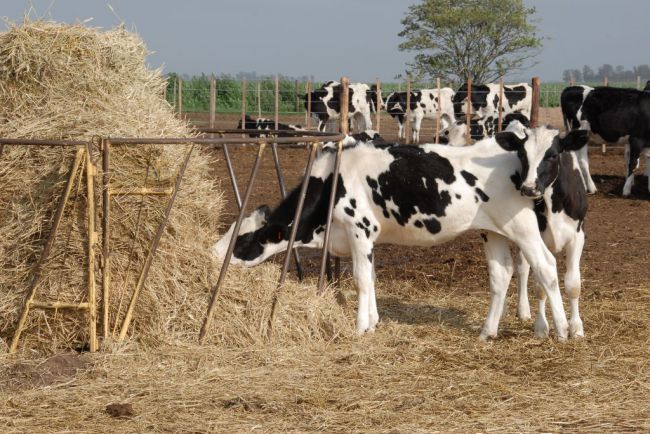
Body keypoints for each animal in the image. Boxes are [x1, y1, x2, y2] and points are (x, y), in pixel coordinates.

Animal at [212, 126, 590, 340]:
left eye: (242, 241)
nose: (212, 255)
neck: (333, 178)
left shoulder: (360, 227)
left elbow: (360, 279)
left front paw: (360, 327)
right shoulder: (366, 238)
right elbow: (371, 277)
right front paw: (374, 321)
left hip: (523, 227)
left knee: (545, 267)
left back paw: (561, 331)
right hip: (493, 230)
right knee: (503, 273)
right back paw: (488, 332)